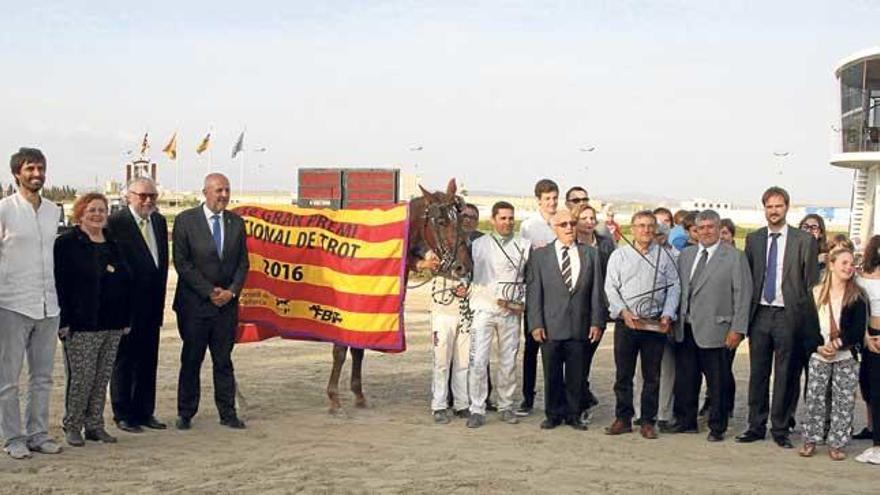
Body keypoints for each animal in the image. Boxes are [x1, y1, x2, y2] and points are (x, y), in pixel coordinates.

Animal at [324, 178, 474, 414]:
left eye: (459, 220)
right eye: (441, 221)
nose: (463, 266)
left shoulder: (365, 311)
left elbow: (358, 350)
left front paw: (358, 394)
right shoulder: (344, 311)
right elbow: (340, 351)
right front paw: (334, 399)